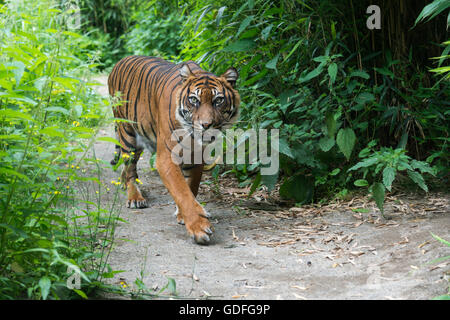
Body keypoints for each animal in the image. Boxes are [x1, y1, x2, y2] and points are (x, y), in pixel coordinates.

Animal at [107, 55, 239, 245]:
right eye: (194, 100)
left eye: (218, 101)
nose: (206, 125)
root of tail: (121, 60)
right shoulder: (167, 158)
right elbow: (182, 191)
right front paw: (199, 227)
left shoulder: (196, 159)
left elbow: (191, 187)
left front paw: (182, 215)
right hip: (128, 133)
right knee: (130, 167)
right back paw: (135, 197)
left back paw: (124, 183)